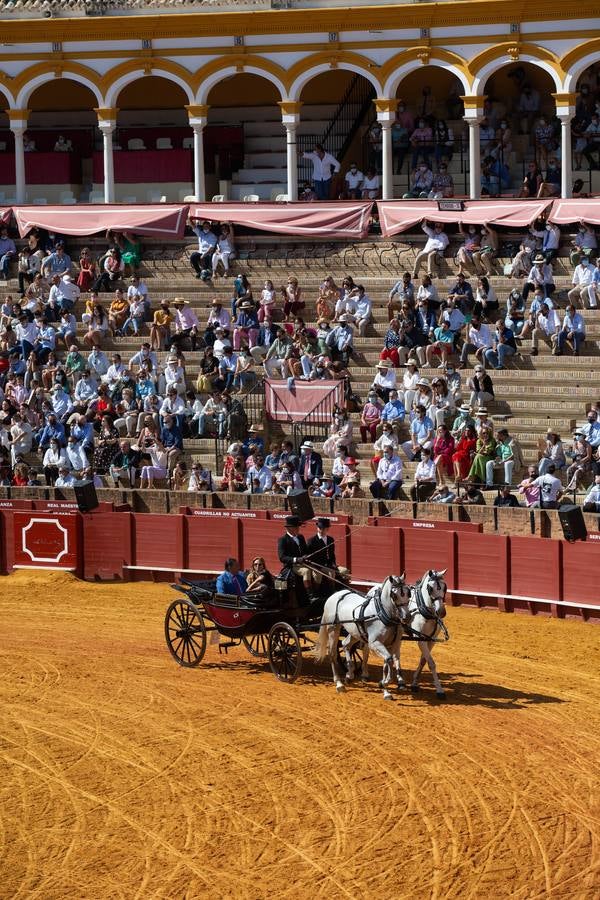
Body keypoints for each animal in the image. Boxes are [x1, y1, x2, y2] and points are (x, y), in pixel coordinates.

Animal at [312, 572, 410, 700]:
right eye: (394, 595)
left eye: (408, 593)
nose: (407, 616)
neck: (382, 613)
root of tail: (334, 596)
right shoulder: (375, 643)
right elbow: (388, 659)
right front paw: (385, 683)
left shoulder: (392, 644)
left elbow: (388, 662)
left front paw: (385, 689)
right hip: (333, 629)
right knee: (333, 653)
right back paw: (339, 683)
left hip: (355, 632)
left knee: (346, 644)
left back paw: (349, 675)